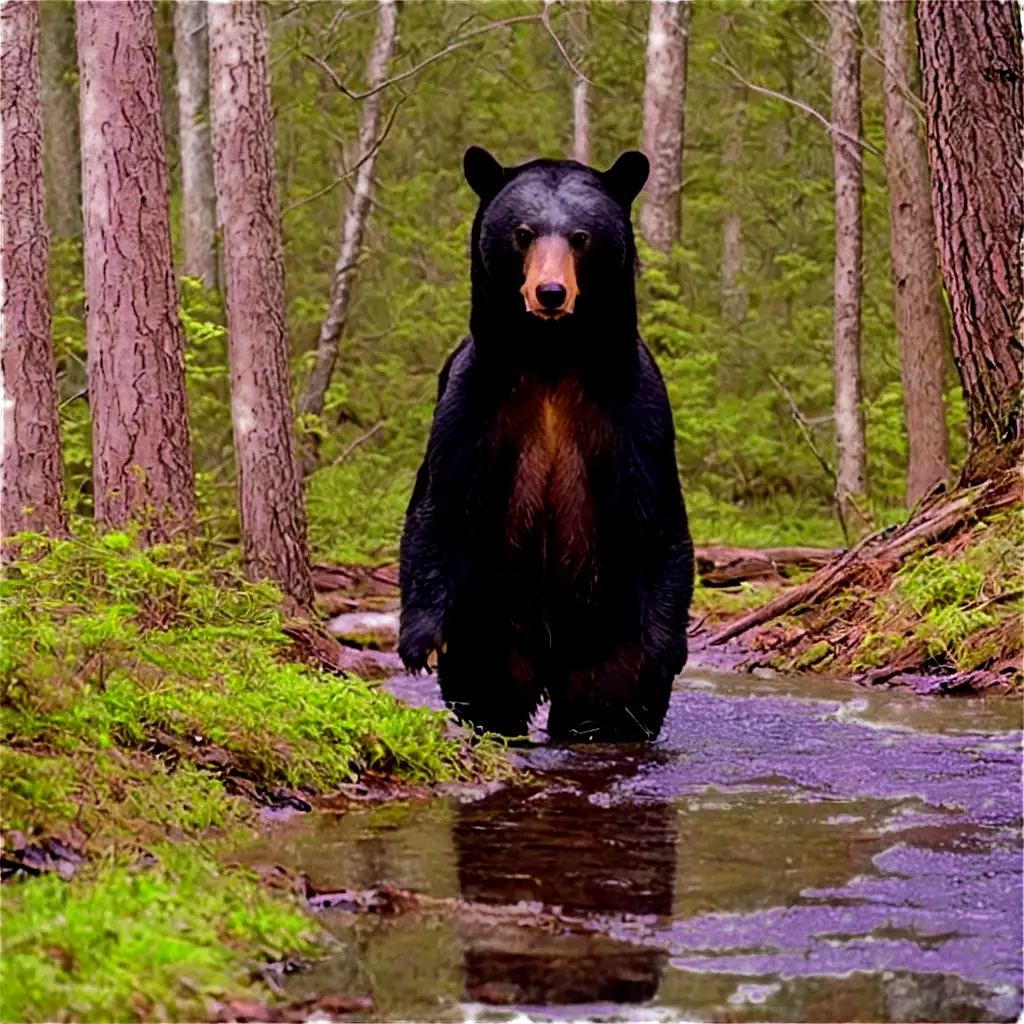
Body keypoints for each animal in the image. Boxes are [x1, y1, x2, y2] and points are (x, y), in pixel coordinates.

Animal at [395, 144, 692, 741]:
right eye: (524, 232)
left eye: (581, 236)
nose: (550, 292)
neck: (552, 357)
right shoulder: (474, 398)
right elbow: (442, 503)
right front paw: (417, 642)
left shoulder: (634, 408)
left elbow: (657, 517)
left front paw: (668, 651)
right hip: (487, 621)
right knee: (486, 694)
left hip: (607, 630)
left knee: (609, 706)